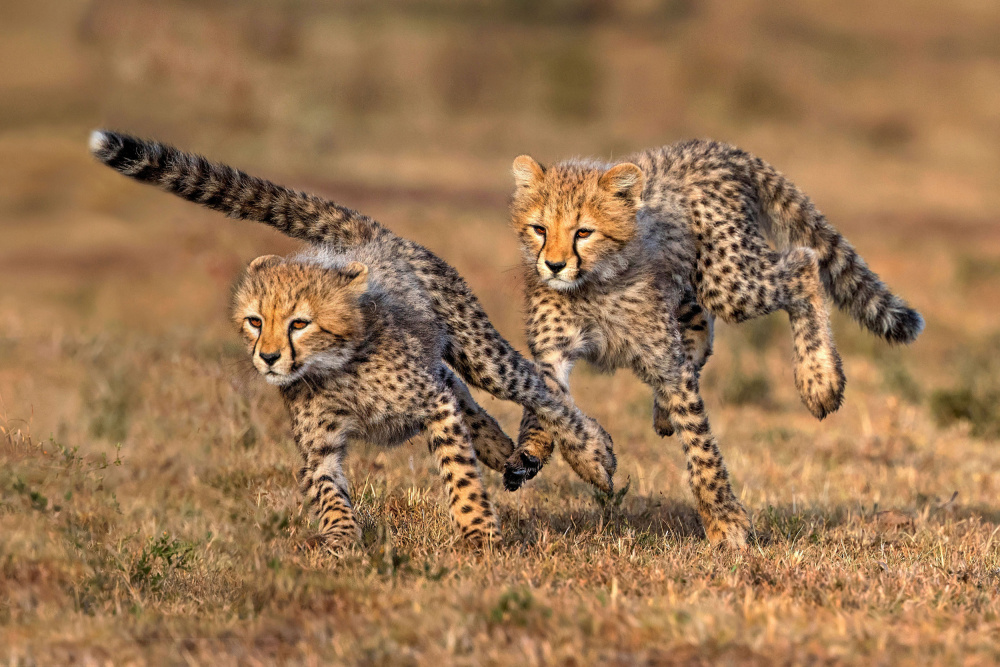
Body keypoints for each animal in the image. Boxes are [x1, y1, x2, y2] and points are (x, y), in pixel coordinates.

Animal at [231, 250, 504, 547]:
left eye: (299, 323)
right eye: (255, 321)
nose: (268, 357)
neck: (335, 369)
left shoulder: (435, 404)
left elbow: (459, 467)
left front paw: (478, 530)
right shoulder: (320, 447)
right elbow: (326, 486)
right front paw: (340, 534)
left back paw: (502, 449)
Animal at [505, 139, 924, 548]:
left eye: (583, 232)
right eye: (540, 229)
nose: (554, 266)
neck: (591, 284)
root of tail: (709, 147)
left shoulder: (666, 361)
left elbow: (701, 445)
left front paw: (724, 520)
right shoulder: (551, 354)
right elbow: (550, 407)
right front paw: (573, 456)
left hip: (729, 280)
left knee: (803, 265)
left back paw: (819, 380)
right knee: (701, 328)